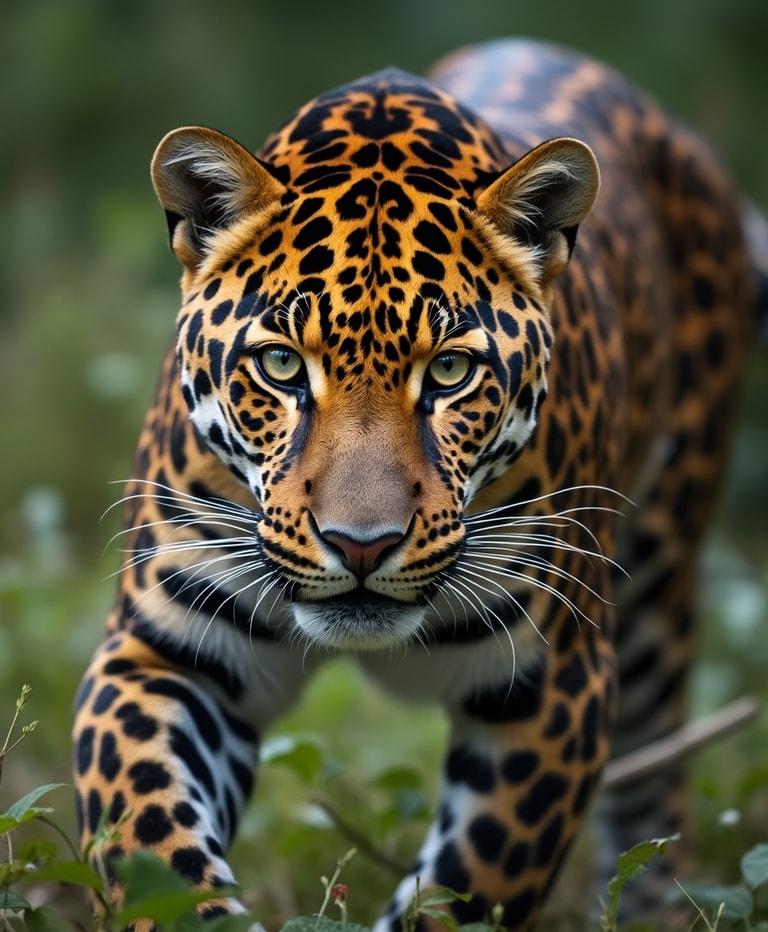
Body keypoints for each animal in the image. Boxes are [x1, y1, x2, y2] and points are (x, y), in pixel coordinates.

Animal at [73, 38, 767, 931]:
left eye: (448, 373)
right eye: (281, 365)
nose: (360, 546)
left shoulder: (554, 684)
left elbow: (474, 880)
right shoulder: (164, 655)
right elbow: (148, 836)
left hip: (657, 583)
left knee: (655, 785)